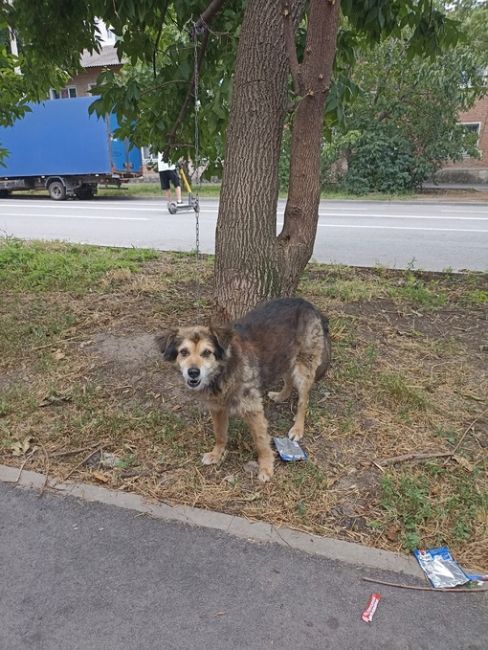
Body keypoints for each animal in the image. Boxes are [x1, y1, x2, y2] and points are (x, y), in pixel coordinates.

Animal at [156, 296, 332, 478]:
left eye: (206, 353)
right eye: (183, 352)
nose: (193, 372)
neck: (223, 371)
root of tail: (307, 303)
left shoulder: (253, 409)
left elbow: (261, 441)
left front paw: (266, 467)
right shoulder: (217, 408)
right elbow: (220, 434)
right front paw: (216, 454)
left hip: (304, 366)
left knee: (303, 400)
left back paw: (298, 428)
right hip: (285, 355)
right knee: (288, 378)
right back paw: (281, 395)